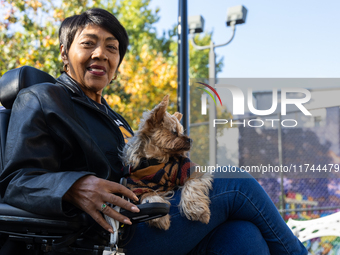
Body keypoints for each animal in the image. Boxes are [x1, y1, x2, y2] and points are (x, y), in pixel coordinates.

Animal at [121, 94, 212, 230]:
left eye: (181, 131)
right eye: (174, 132)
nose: (190, 140)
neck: (157, 160)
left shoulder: (188, 169)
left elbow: (190, 185)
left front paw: (197, 210)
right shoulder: (140, 186)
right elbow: (149, 197)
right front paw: (160, 218)